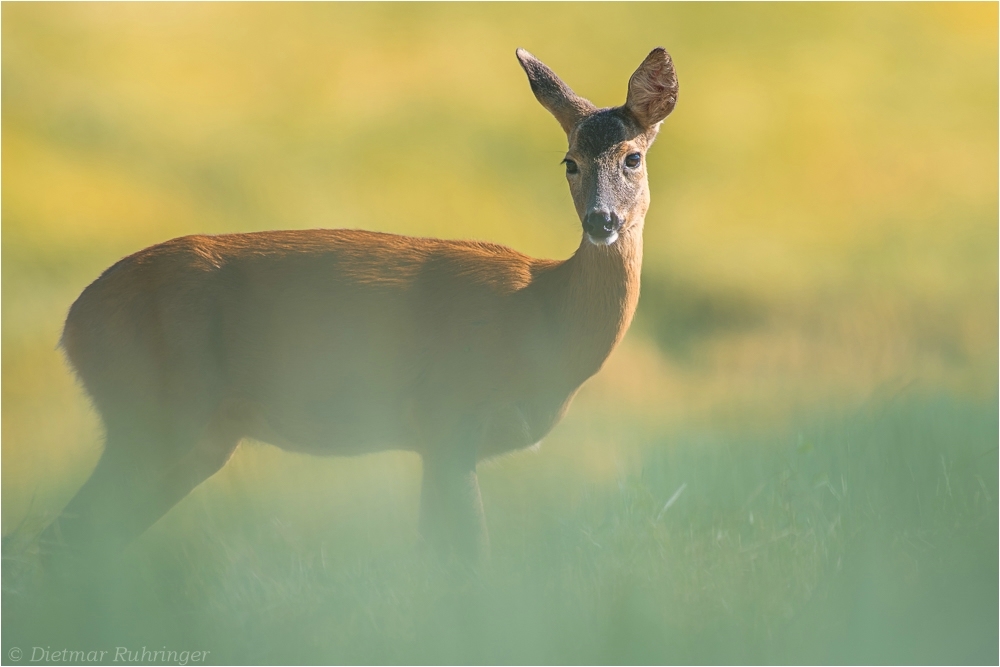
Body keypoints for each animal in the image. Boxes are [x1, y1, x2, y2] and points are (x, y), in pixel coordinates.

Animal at [41, 48, 680, 568]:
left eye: (632, 158)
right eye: (569, 161)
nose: (601, 221)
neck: (542, 319)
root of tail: (72, 323)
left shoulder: (434, 439)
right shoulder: (449, 410)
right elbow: (469, 560)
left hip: (194, 436)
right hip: (152, 410)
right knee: (65, 535)